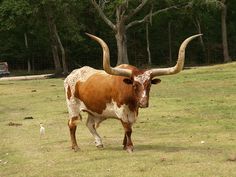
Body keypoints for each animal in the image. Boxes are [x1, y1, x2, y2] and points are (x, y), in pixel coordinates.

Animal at [64, 33, 201, 152]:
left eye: (149, 85)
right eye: (134, 85)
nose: (143, 103)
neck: (132, 102)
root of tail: (72, 74)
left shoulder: (133, 112)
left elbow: (129, 129)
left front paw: (125, 145)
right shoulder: (121, 111)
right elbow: (128, 129)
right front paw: (129, 147)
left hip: (94, 110)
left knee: (90, 124)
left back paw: (99, 142)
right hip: (73, 107)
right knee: (72, 124)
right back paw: (75, 147)